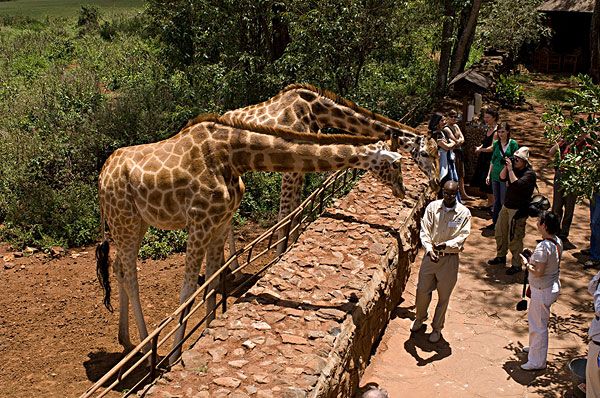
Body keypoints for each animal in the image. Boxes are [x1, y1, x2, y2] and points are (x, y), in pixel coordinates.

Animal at [96, 114, 406, 364]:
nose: (403, 192)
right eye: (396, 165)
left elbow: (213, 281)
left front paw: (207, 329)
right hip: (125, 219)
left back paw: (126, 340)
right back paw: (147, 348)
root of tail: (101, 176)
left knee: (118, 268)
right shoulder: (199, 220)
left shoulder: (219, 221)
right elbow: (188, 291)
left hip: (136, 223)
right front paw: (174, 356)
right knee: (131, 275)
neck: (233, 156)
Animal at [223, 84, 438, 255]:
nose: (436, 182)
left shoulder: (301, 166)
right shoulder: (290, 168)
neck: (316, 111)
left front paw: (289, 249)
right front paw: (277, 257)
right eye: (426, 154)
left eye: (438, 152)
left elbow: (296, 213)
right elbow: (284, 217)